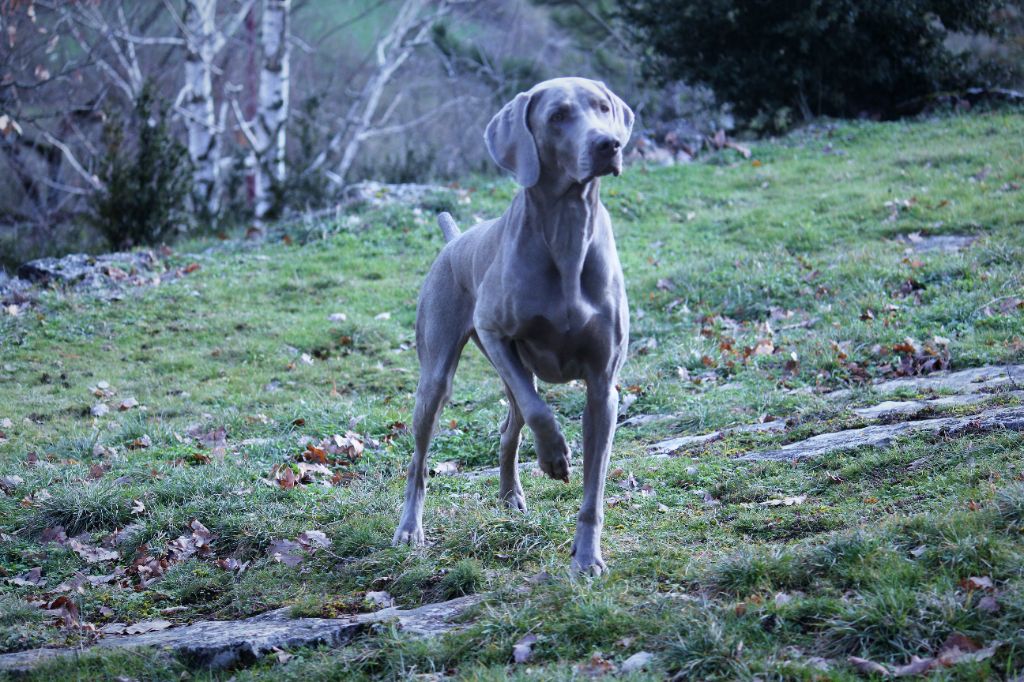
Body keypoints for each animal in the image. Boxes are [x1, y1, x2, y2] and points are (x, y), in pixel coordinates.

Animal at [393, 77, 634, 575]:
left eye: (603, 108)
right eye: (558, 116)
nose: (609, 144)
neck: (566, 231)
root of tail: (455, 241)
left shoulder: (604, 387)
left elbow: (594, 490)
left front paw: (587, 559)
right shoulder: (493, 332)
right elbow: (541, 412)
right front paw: (557, 457)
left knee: (510, 428)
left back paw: (510, 496)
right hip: (439, 376)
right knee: (421, 459)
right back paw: (410, 528)